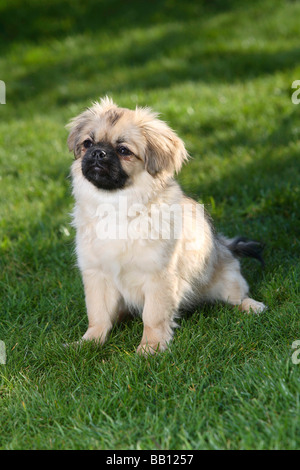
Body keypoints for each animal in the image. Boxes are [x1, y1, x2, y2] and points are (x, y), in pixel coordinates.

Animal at [67, 96, 266, 352]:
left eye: (123, 151)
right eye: (87, 143)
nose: (98, 153)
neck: (115, 206)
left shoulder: (158, 276)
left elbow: (153, 317)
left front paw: (150, 348)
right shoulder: (96, 275)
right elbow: (98, 315)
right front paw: (89, 342)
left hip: (229, 281)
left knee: (236, 298)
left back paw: (251, 306)